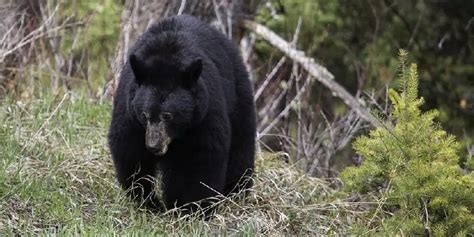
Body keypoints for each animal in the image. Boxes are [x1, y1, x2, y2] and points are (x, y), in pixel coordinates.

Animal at [108, 14, 256, 215]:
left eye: (168, 115)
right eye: (144, 114)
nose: (154, 146)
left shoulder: (203, 116)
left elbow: (198, 160)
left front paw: (192, 209)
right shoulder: (130, 114)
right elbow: (130, 153)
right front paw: (148, 202)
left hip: (239, 94)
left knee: (241, 143)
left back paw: (236, 191)